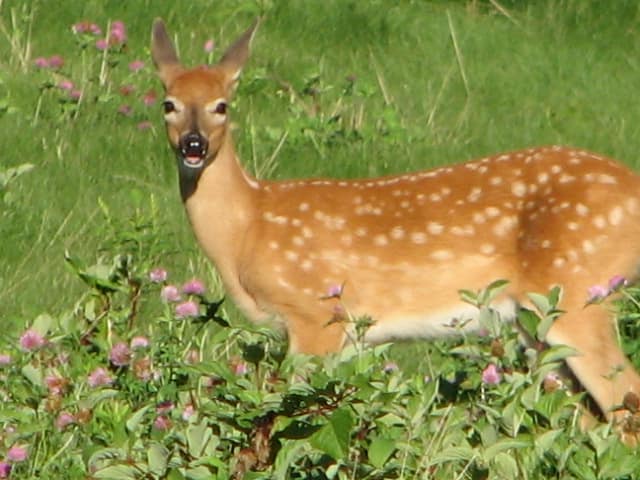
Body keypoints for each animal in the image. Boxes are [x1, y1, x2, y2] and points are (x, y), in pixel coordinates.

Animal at [151, 18, 640, 438]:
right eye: (168, 104)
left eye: (222, 106)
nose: (194, 145)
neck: (249, 224)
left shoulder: (317, 313)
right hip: (536, 325)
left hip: (580, 292)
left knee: (623, 404)